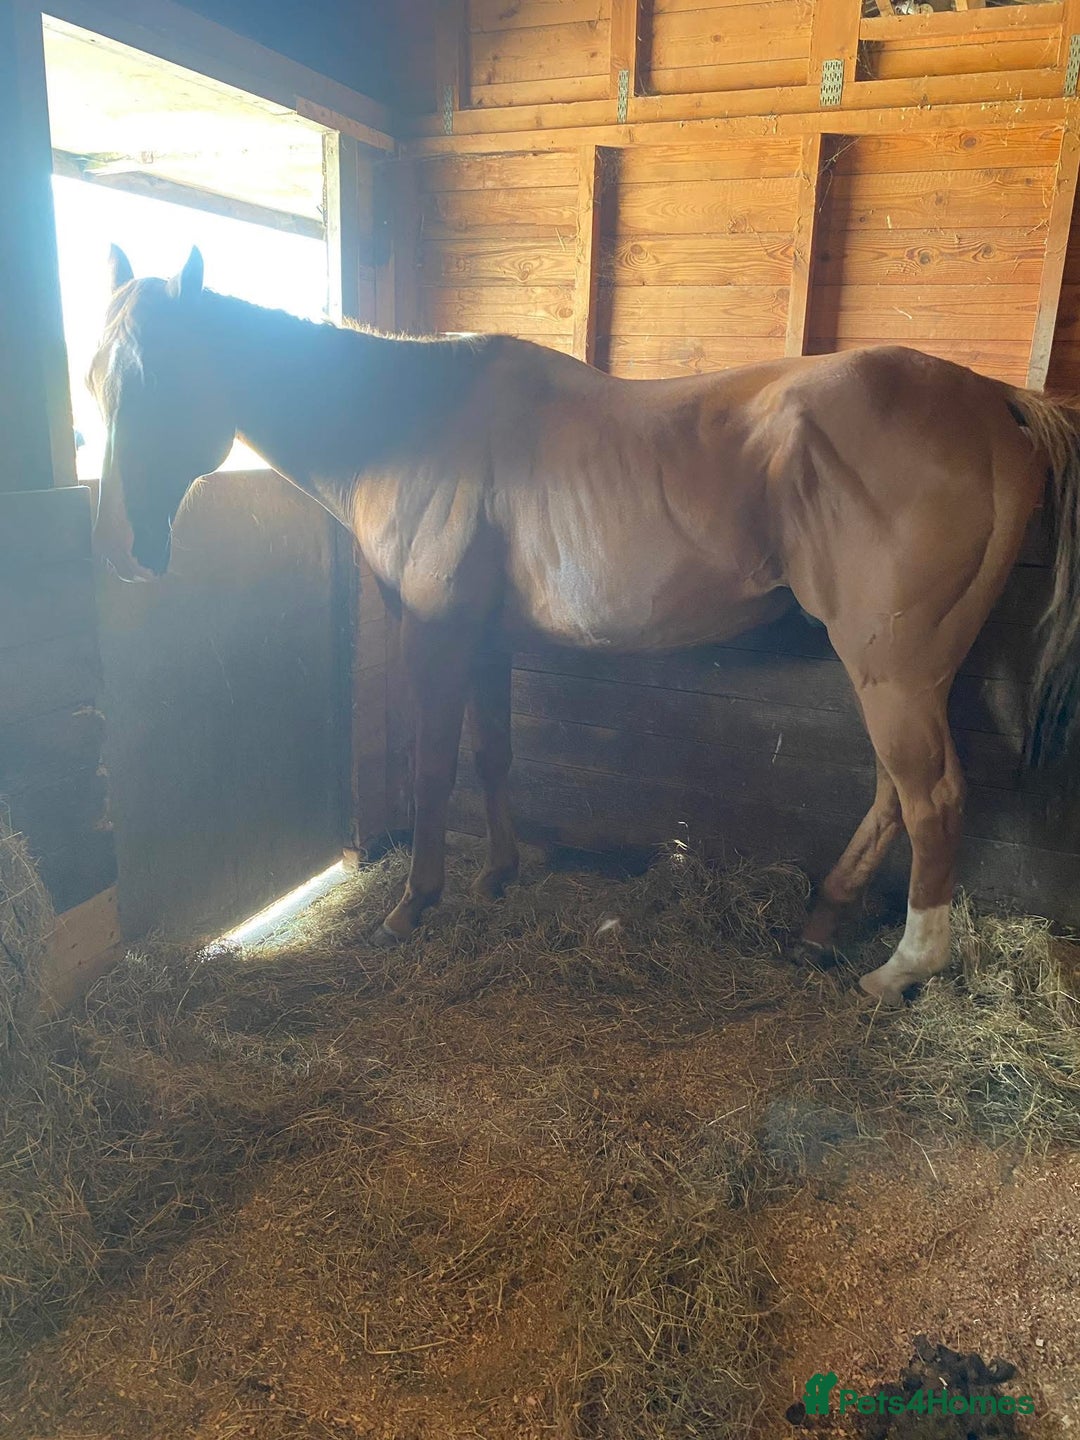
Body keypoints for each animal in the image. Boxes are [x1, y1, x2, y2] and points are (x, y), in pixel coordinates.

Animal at [88, 245, 1080, 1003]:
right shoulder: (485, 640)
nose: (118, 549)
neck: (408, 424)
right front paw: (500, 875)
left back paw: (902, 969)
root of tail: (995, 401)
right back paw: (822, 920)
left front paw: (414, 907)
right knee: (892, 796)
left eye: (164, 377)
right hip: (897, 672)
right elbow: (492, 753)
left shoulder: (437, 636)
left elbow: (433, 765)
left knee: (932, 798)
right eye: (98, 380)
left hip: (894, 671)